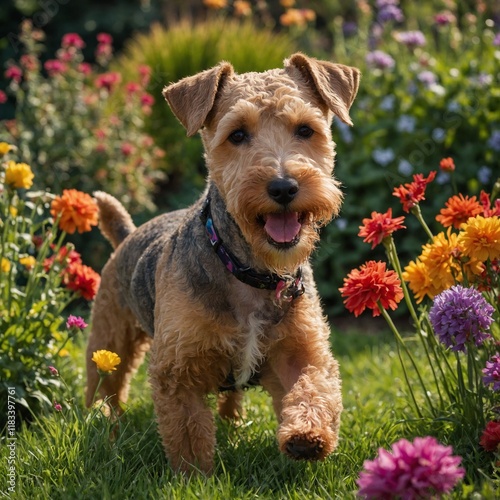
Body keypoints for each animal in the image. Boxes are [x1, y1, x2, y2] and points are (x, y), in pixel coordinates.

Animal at [86, 52, 360, 474]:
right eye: (237, 135)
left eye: (305, 129)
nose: (284, 187)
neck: (250, 271)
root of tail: (128, 232)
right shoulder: (177, 370)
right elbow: (190, 436)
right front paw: (195, 477)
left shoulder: (301, 349)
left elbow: (312, 387)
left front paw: (306, 437)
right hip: (109, 337)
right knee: (102, 386)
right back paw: (97, 421)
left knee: (230, 399)